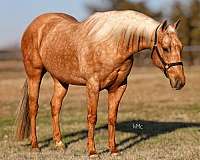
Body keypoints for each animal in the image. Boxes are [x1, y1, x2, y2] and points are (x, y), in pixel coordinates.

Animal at [15, 10, 186, 157]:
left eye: (181, 47)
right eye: (166, 48)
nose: (180, 81)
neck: (114, 43)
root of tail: (35, 25)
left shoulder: (118, 87)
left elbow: (112, 117)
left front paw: (114, 150)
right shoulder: (93, 86)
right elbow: (92, 117)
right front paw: (92, 152)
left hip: (60, 80)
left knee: (55, 106)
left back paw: (59, 143)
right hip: (34, 74)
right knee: (33, 108)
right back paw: (35, 146)